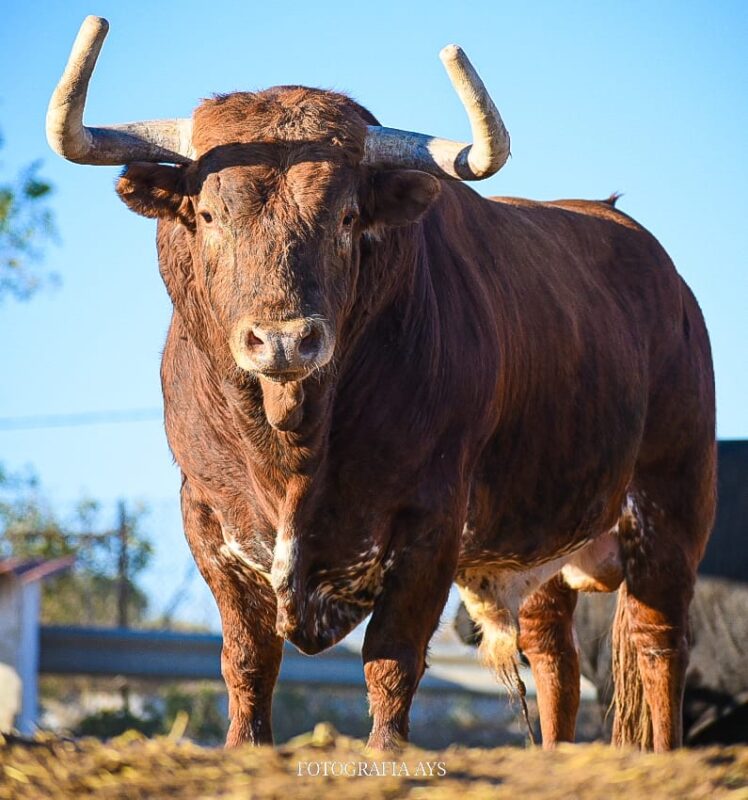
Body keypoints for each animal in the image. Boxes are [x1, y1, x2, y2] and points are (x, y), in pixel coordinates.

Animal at [49, 20, 716, 756]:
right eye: (210, 213)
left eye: (346, 217)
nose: (284, 341)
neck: (293, 442)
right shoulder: (207, 515)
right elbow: (248, 658)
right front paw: (244, 746)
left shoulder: (429, 521)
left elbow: (392, 657)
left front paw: (385, 752)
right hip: (539, 541)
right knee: (554, 658)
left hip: (670, 504)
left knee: (660, 643)